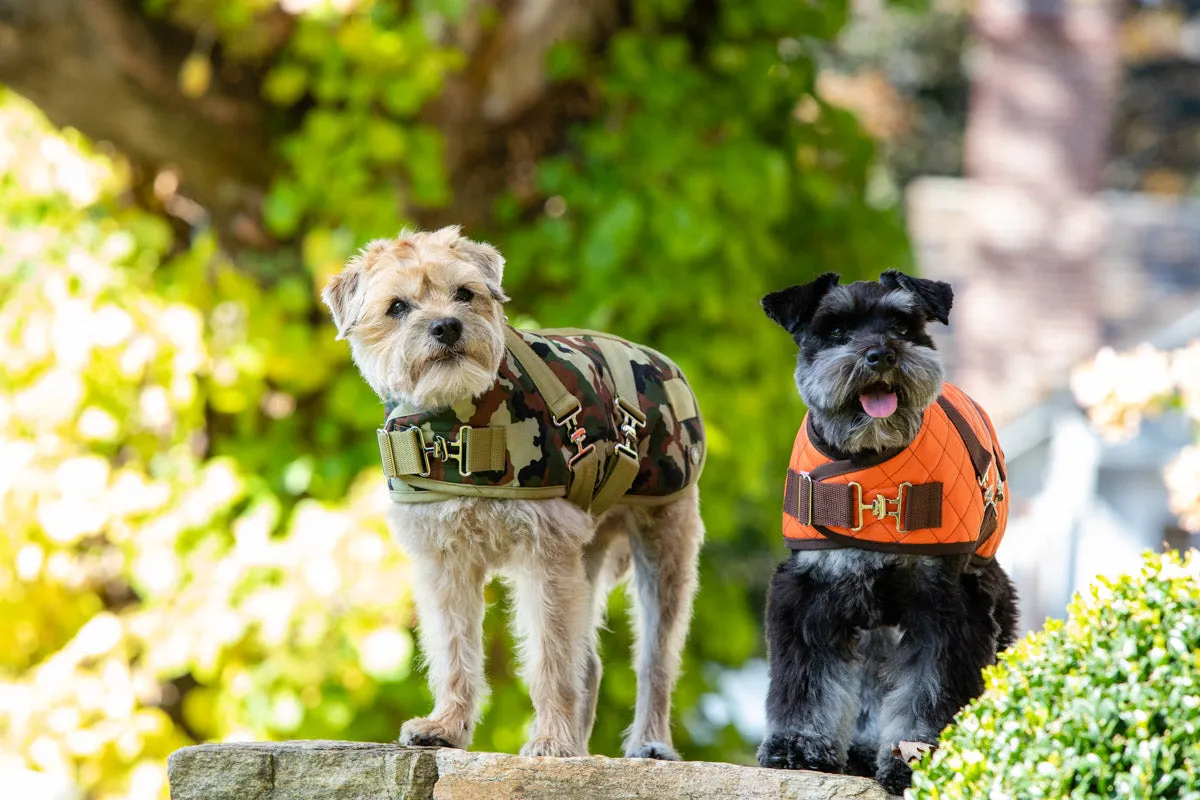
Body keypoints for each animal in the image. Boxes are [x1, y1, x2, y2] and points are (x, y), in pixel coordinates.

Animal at [753, 271, 1017, 796]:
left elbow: (930, 688)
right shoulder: (810, 592)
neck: (871, 462)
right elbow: (807, 678)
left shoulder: (946, 603)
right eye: (835, 329)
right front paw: (798, 745)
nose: (881, 355)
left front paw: (918, 757)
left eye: (902, 326)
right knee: (874, 679)